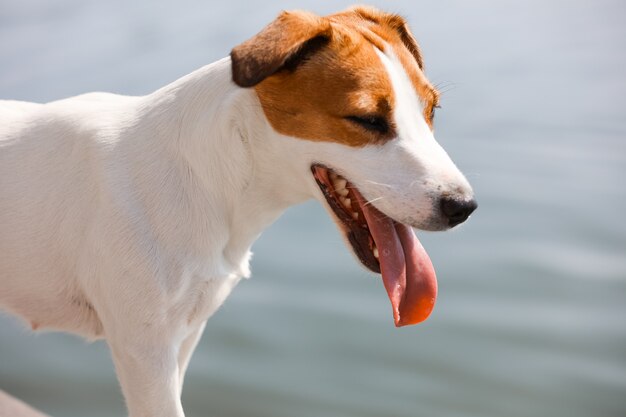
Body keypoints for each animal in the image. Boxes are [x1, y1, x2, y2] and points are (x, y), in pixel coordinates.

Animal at [1, 6, 472, 416]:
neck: (207, 180)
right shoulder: (145, 350)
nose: (463, 207)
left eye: (432, 110)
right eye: (368, 119)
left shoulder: (185, 334)